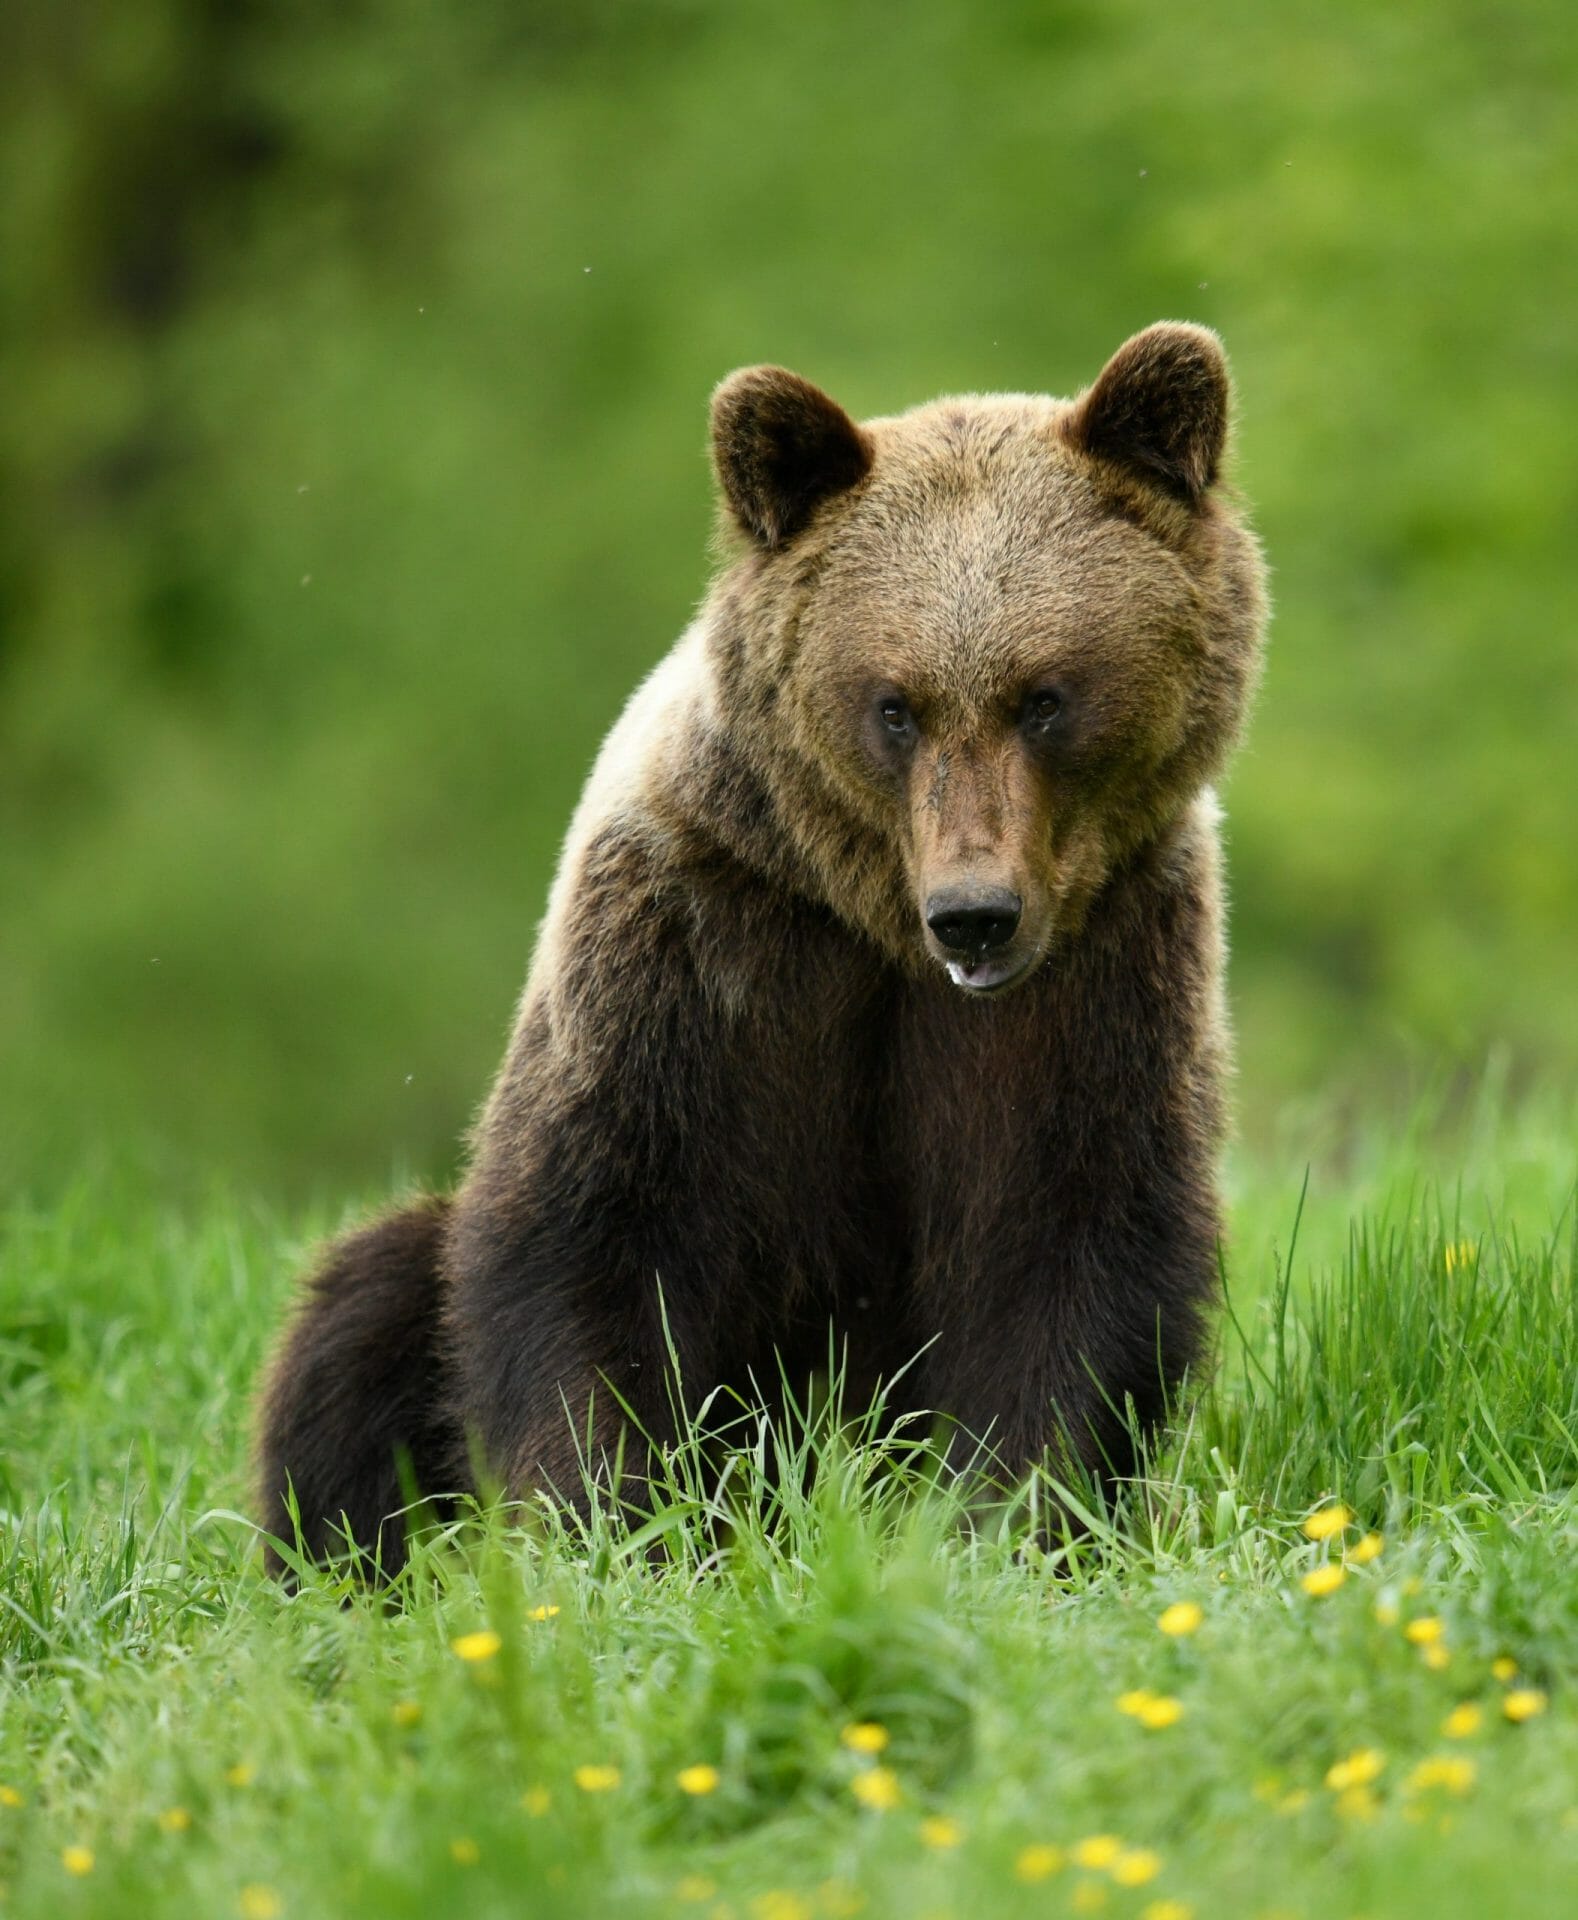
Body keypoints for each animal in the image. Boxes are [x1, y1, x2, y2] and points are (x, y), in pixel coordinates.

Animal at [259, 322, 1274, 1566]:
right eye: (894, 705)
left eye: (1045, 697)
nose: (974, 912)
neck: (875, 922)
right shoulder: (698, 945)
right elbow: (594, 1238)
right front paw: (607, 1525)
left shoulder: (1105, 971)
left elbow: (1071, 1244)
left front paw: (1017, 1515)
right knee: (364, 1314)